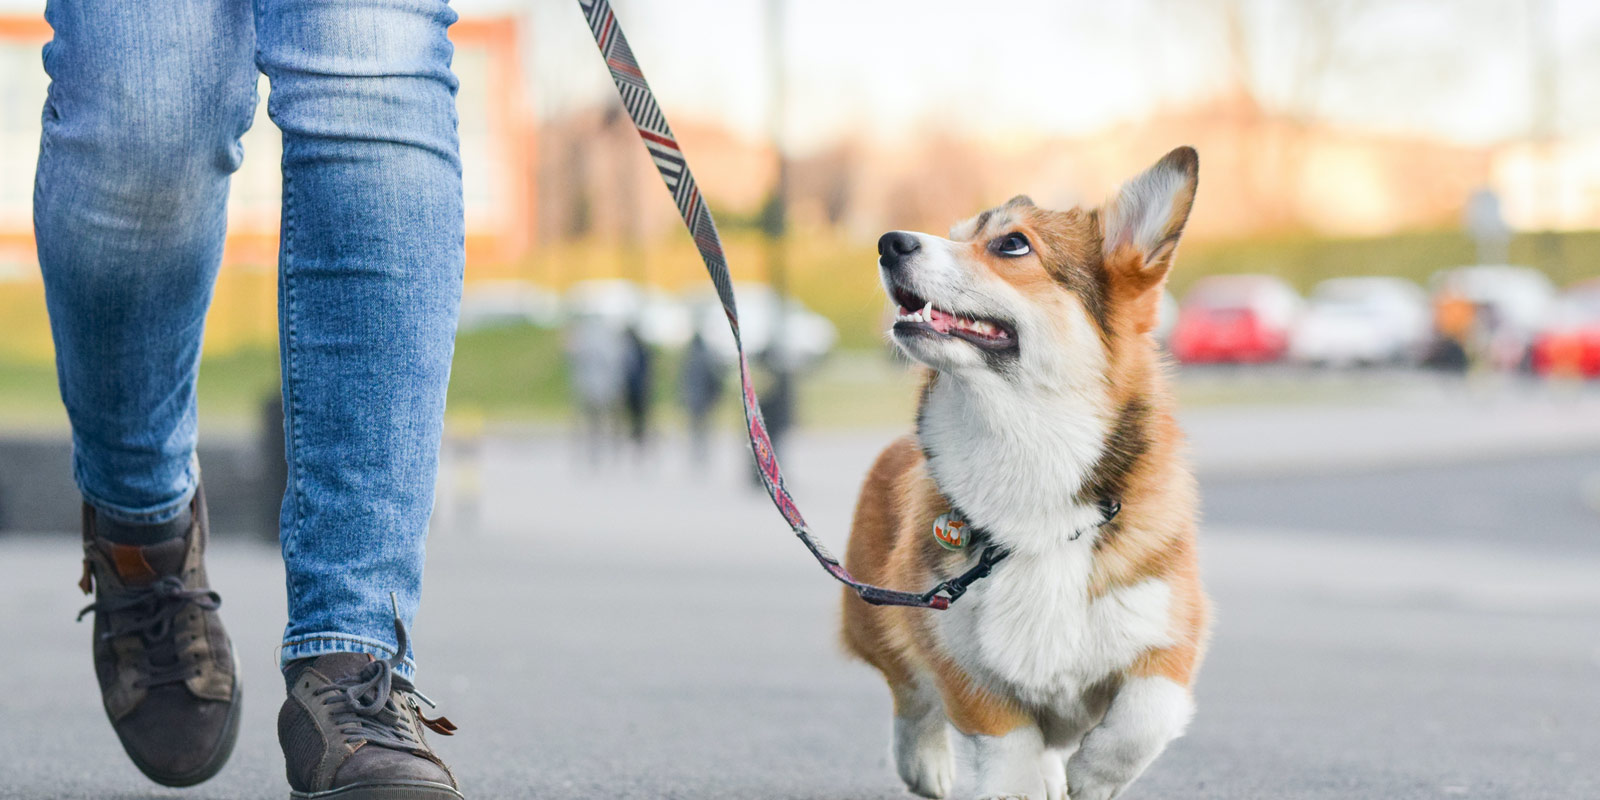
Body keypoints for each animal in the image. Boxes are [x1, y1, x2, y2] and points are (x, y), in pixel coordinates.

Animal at [844, 145, 1203, 800]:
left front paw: (1093, 777)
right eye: (956, 234)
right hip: (876, 611)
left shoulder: (1170, 629)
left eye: (1012, 244)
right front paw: (1025, 780)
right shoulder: (952, 646)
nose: (889, 242)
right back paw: (926, 763)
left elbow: (1144, 716)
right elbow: (1007, 741)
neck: (1027, 447)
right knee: (909, 693)